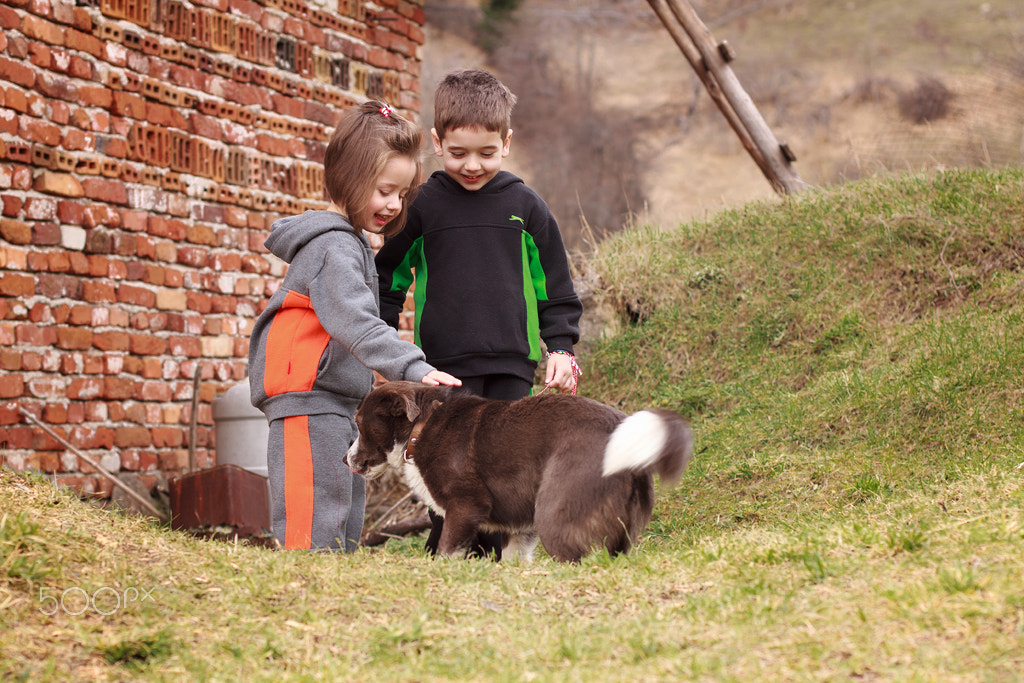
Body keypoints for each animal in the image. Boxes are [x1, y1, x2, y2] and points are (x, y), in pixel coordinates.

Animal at [346, 382, 696, 565]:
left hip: (553, 512)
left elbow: (447, 550)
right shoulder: (519, 527)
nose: (344, 458)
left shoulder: (466, 506)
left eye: (359, 423)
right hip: (622, 534)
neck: (421, 427)